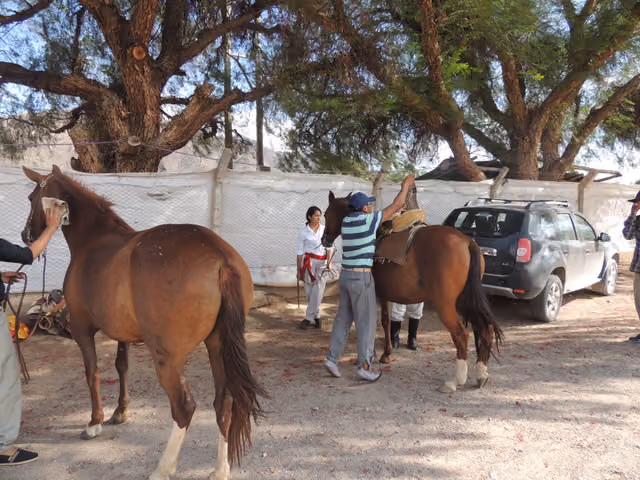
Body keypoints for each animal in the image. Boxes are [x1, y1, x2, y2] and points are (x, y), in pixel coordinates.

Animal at [21, 166, 265, 480]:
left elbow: (92, 372)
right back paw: (220, 469)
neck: (94, 240)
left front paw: (94, 422)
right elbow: (121, 366)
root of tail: (220, 257)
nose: (26, 235)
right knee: (224, 402)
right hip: (217, 346)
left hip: (168, 356)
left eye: (31, 198)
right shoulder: (122, 332)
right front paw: (120, 412)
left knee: (184, 408)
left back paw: (164, 467)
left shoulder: (82, 329)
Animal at [322, 191, 504, 393]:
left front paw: (376, 355)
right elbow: (386, 321)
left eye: (326, 214)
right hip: (465, 300)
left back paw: (455, 380)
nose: (324, 240)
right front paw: (386, 353)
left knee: (461, 334)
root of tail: (467, 241)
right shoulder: (385, 295)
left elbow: (376, 322)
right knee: (484, 329)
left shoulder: (376, 294)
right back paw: (481, 374)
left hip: (446, 304)